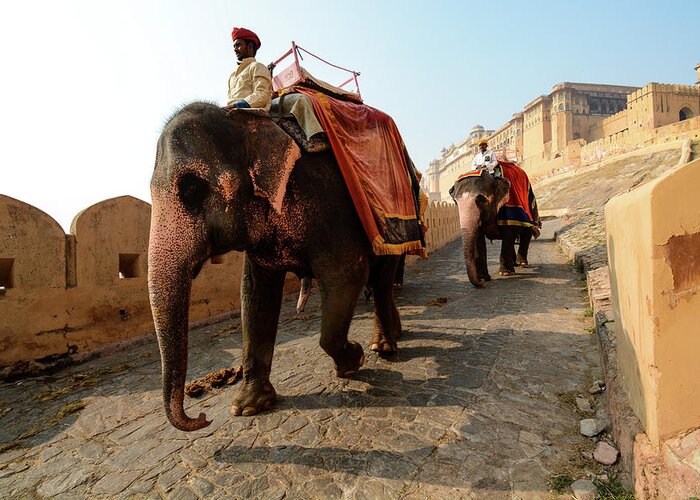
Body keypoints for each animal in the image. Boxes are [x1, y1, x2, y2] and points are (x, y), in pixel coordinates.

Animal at [150, 103, 408, 432]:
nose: (203, 417)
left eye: (192, 189)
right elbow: (254, 295)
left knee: (381, 280)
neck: (246, 123)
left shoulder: (325, 201)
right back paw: (392, 337)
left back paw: (384, 348)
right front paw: (248, 407)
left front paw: (353, 362)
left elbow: (346, 274)